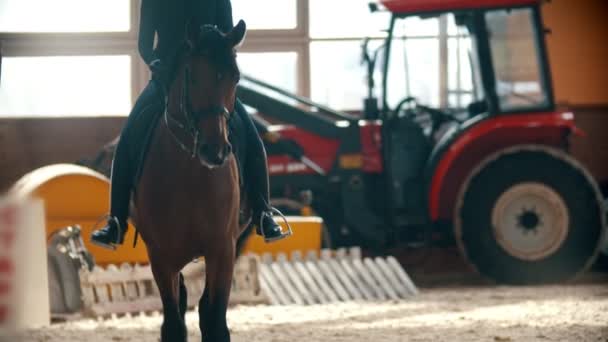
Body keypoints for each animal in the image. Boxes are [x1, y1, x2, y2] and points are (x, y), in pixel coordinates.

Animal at [135, 20, 252, 340]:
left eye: (236, 78)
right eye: (194, 77)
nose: (215, 151)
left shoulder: (223, 250)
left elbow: (215, 322)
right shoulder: (161, 256)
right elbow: (174, 325)